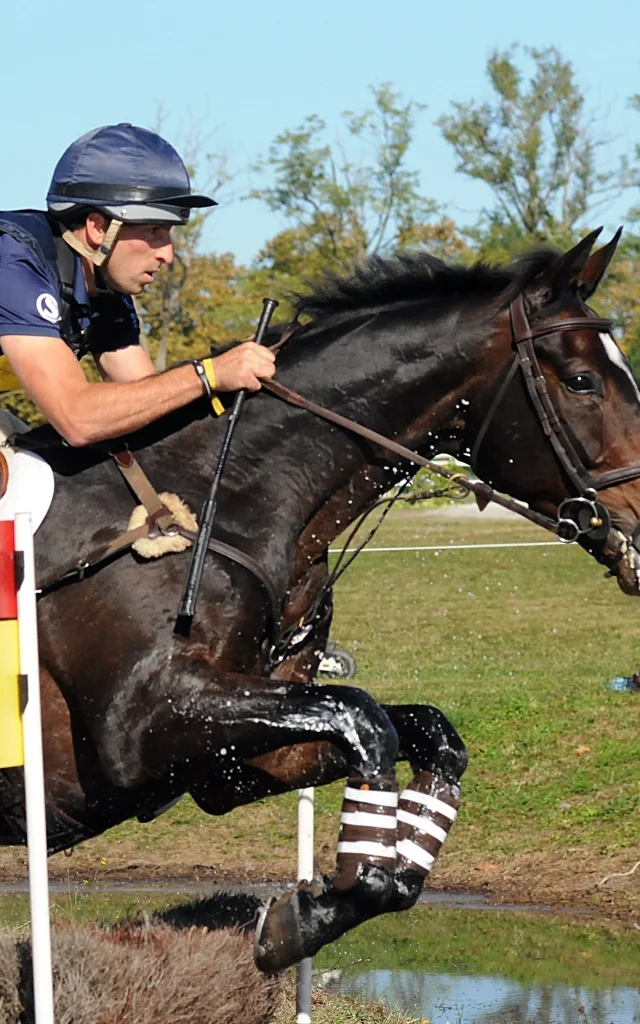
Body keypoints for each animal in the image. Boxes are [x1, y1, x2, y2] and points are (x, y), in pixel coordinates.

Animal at [1, 228, 638, 970]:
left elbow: (420, 733)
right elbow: (364, 719)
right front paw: (307, 916)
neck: (225, 499)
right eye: (582, 381)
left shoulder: (237, 758)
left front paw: (312, 913)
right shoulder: (142, 729)